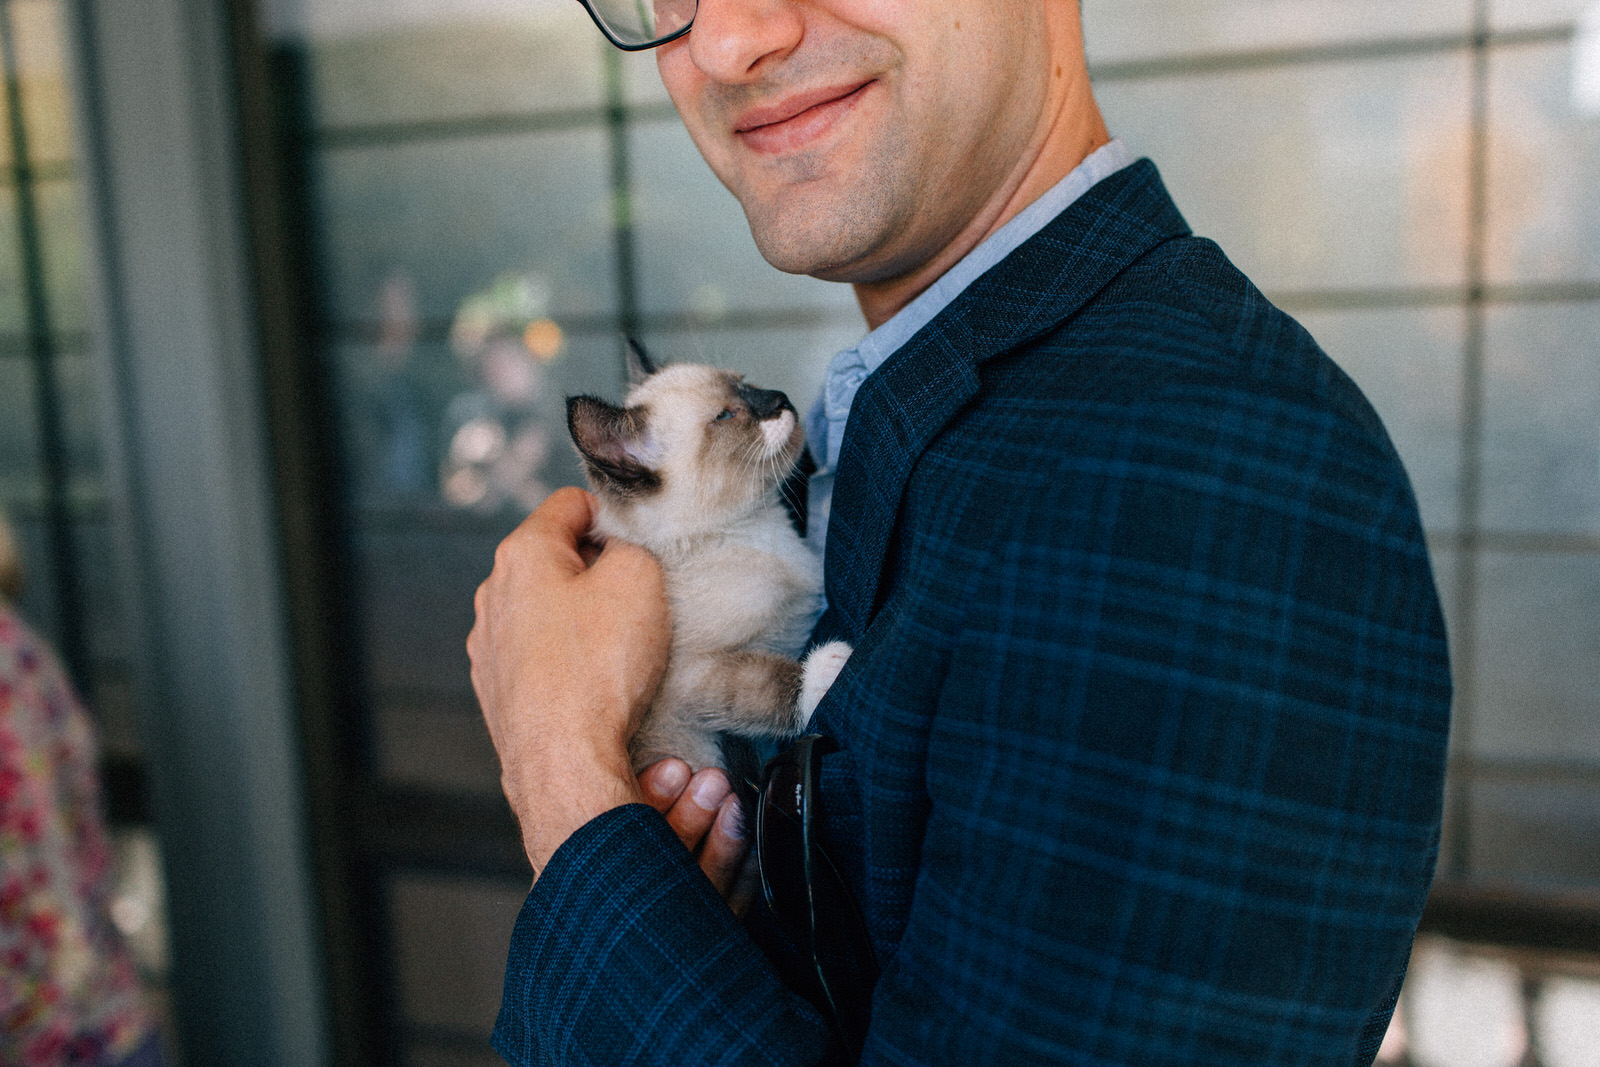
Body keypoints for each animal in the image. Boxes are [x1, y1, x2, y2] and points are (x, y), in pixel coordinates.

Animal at [572, 347, 857, 771]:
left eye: (746, 383)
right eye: (725, 416)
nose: (781, 399)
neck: (755, 528)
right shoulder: (689, 680)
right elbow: (760, 680)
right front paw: (826, 670)